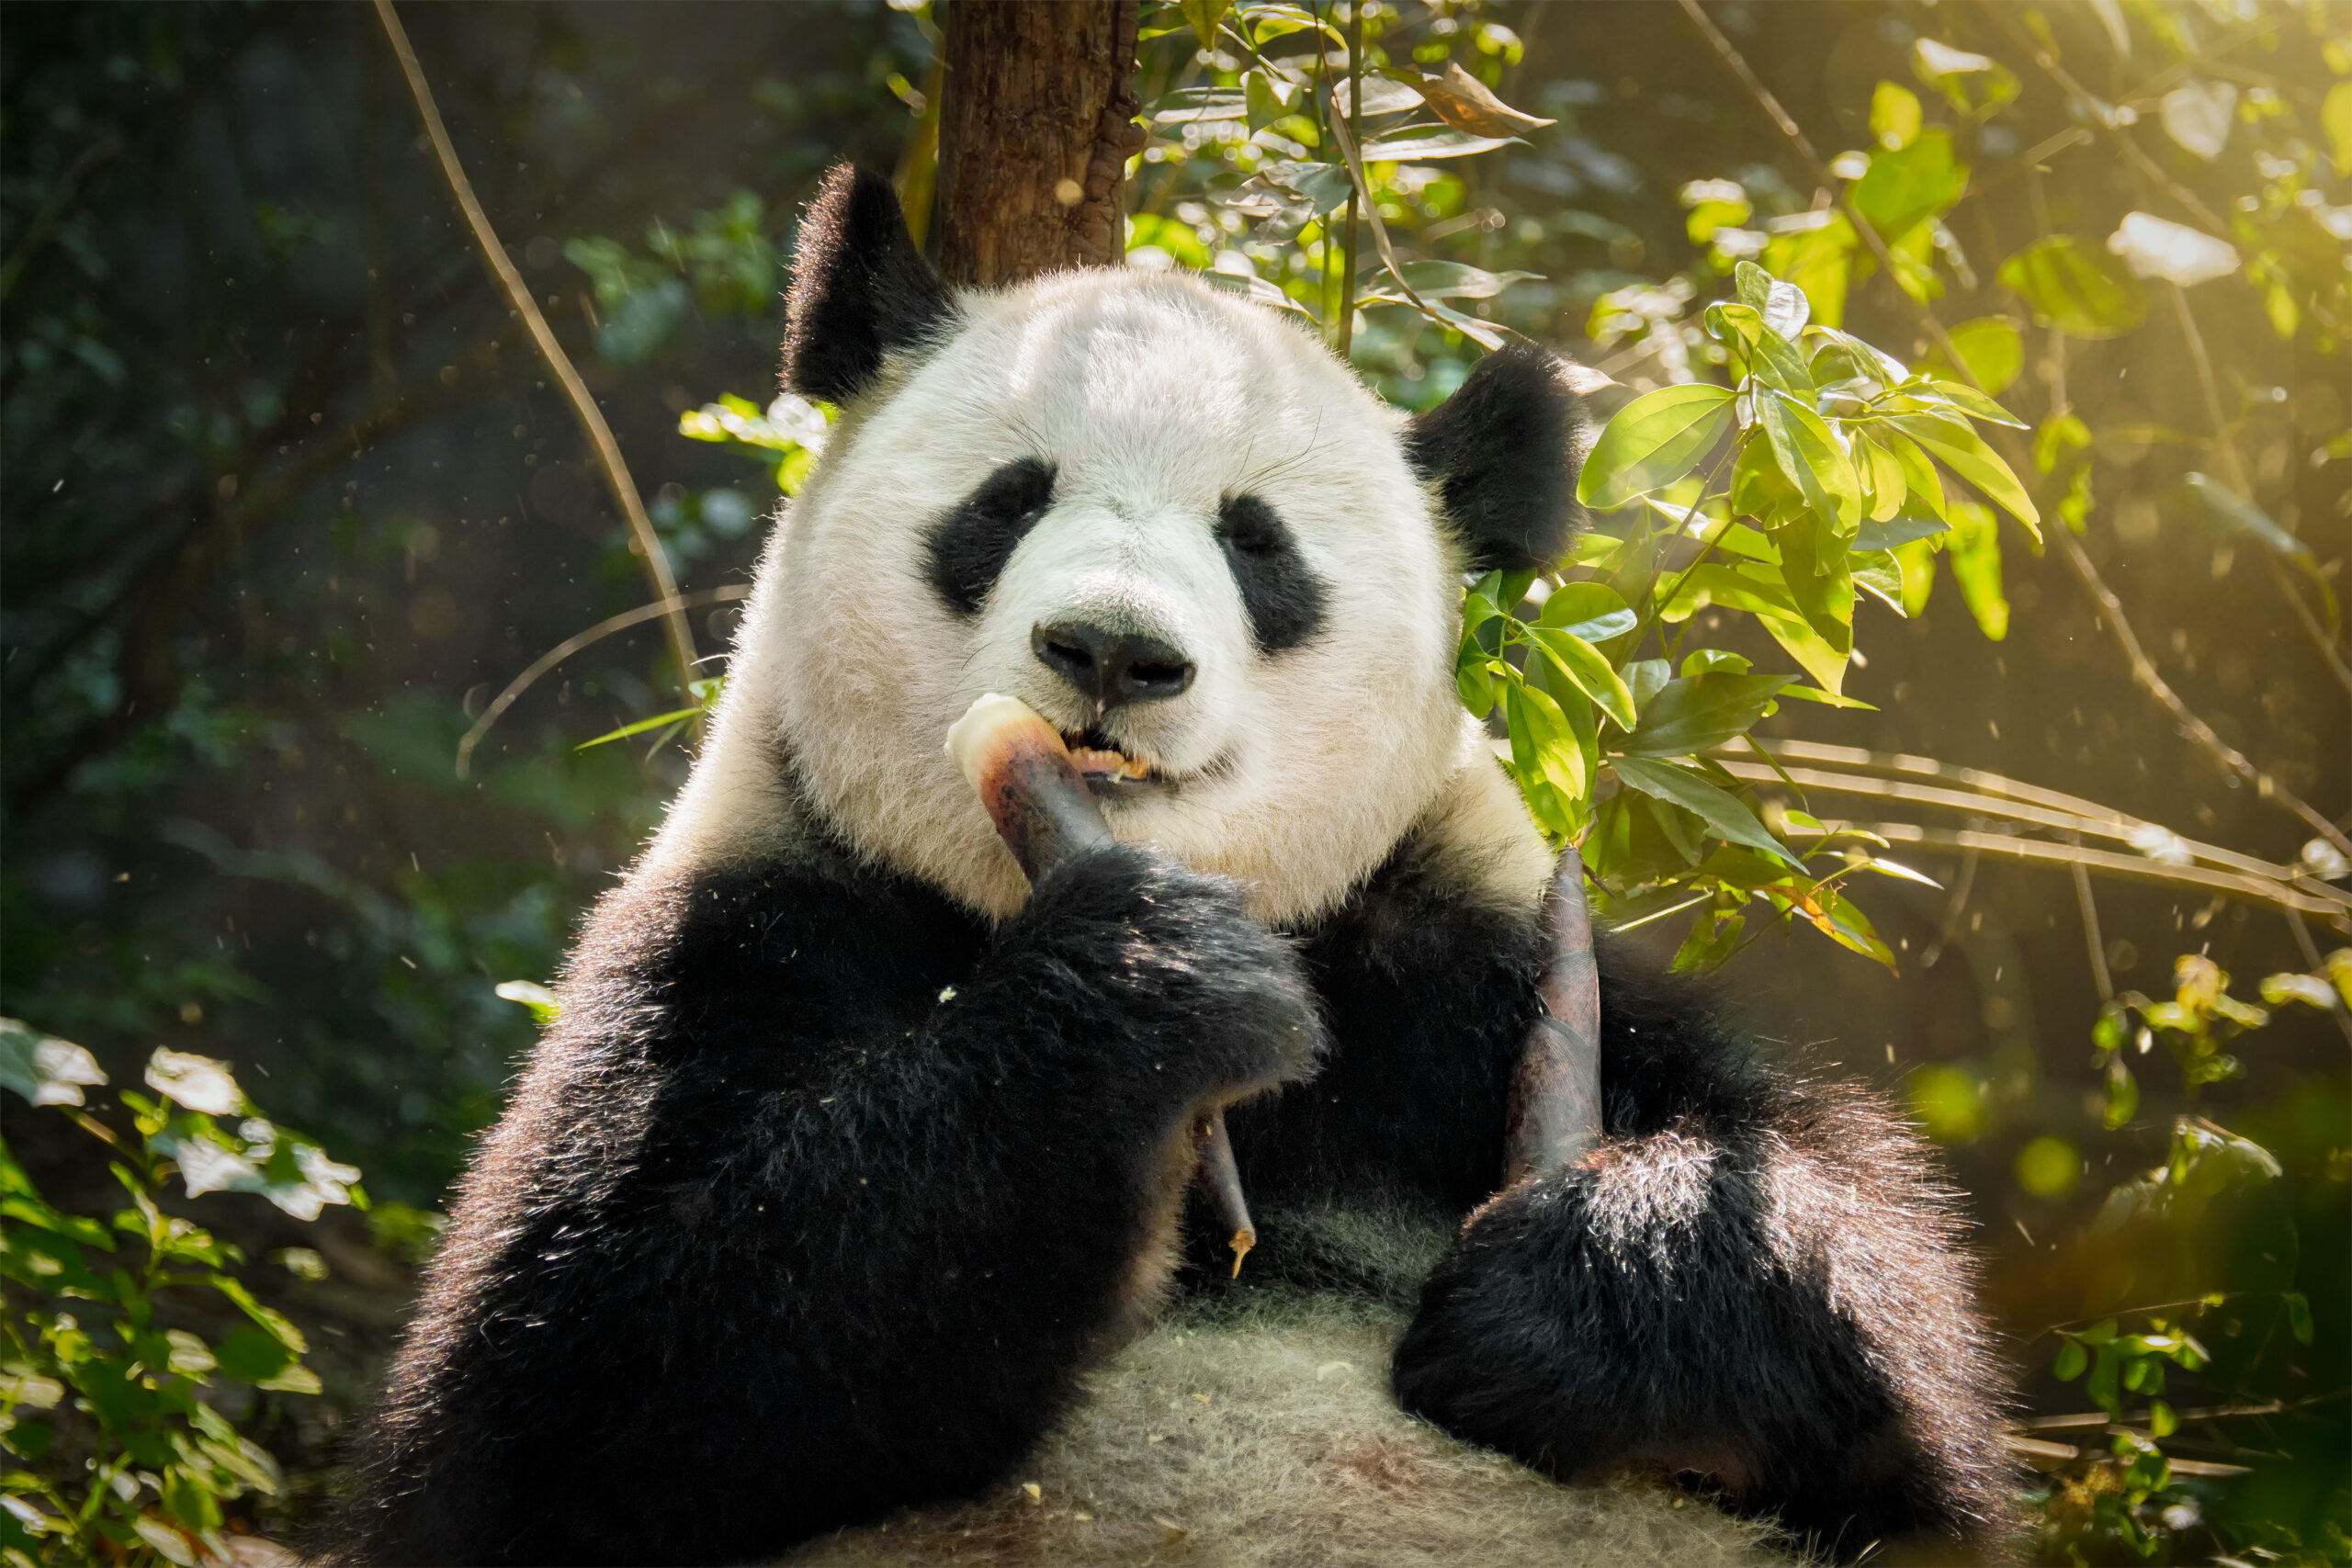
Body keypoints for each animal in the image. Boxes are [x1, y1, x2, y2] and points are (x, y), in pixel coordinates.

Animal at [330, 165, 2013, 1567]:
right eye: (1008, 498)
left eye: (1258, 544)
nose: (1114, 654)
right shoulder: (752, 925)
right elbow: (572, 1387)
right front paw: (1149, 984)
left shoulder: (1465, 959)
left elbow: (1878, 1319)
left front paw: (1573, 1287)